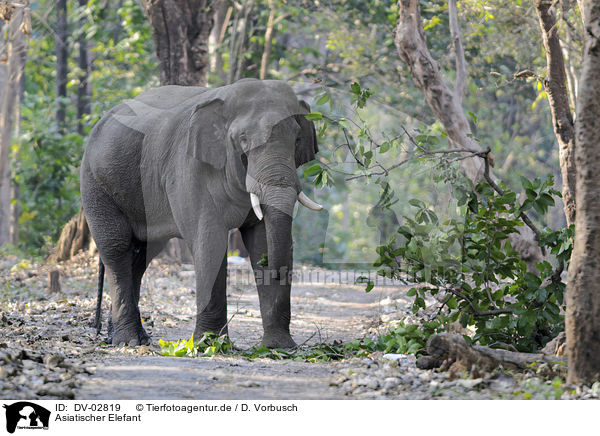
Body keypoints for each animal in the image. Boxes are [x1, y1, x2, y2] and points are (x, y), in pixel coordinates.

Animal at [83, 78, 324, 350]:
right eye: (242, 139)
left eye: (297, 138)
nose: (273, 270)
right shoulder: (187, 168)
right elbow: (209, 239)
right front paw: (209, 344)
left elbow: (262, 240)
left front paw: (279, 347)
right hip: (95, 183)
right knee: (116, 247)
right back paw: (128, 341)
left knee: (141, 255)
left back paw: (128, 337)